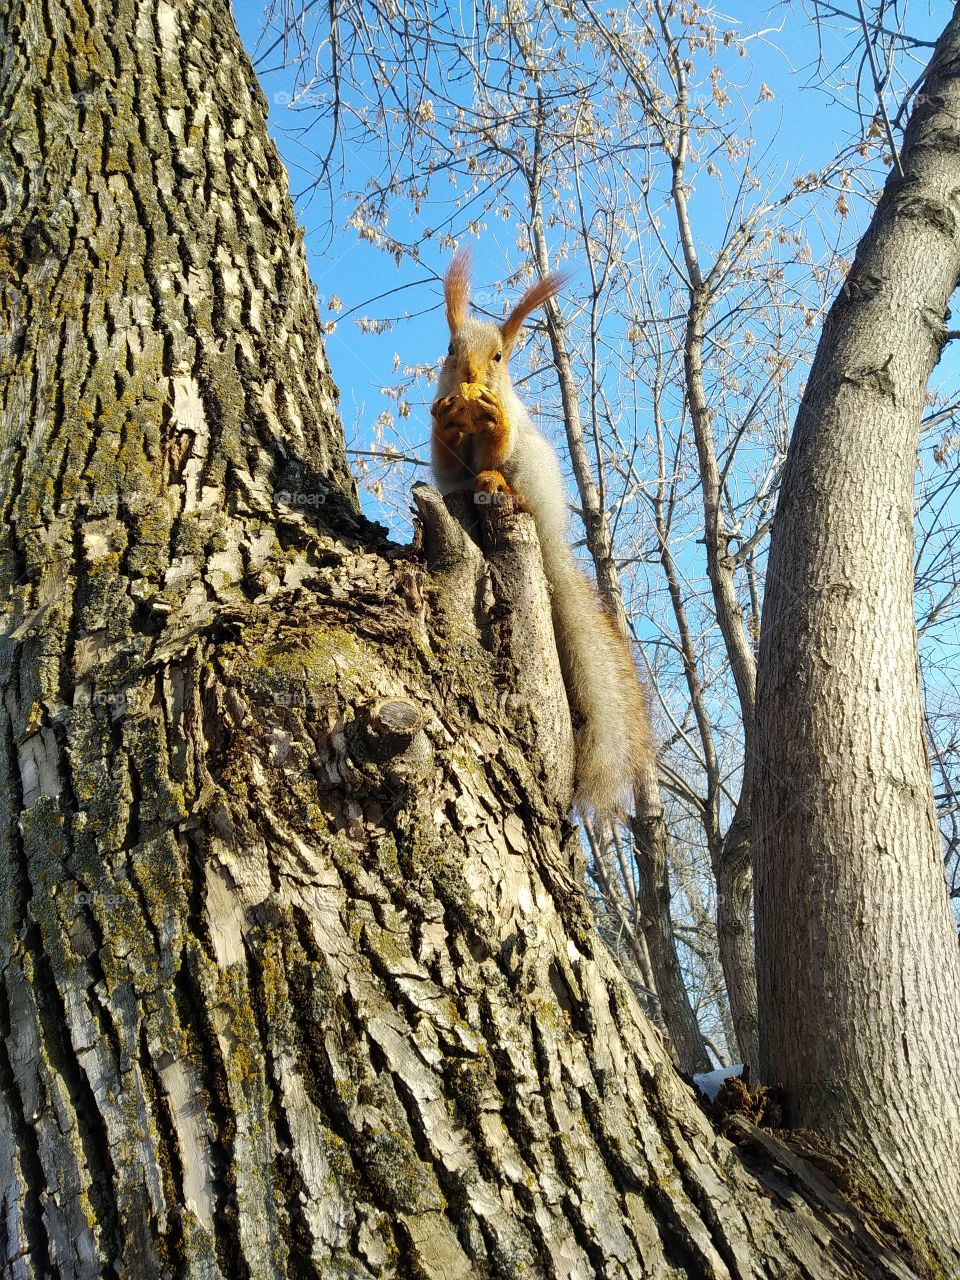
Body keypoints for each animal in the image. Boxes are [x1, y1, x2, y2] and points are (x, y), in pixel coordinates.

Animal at [430, 249, 653, 816]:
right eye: (450, 348)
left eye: (500, 357)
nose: (470, 375)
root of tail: (549, 535)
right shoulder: (446, 460)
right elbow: (447, 459)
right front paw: (445, 419)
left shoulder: (511, 430)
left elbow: (498, 441)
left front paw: (491, 420)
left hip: (532, 468)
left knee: (509, 478)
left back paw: (499, 485)